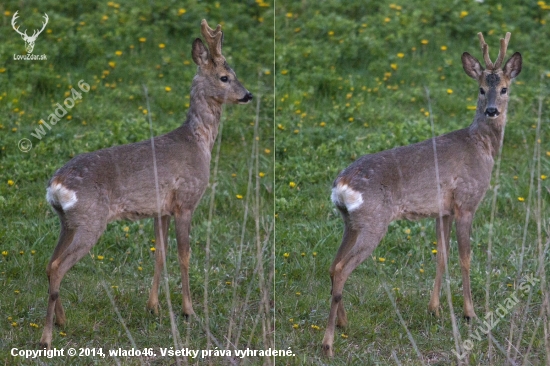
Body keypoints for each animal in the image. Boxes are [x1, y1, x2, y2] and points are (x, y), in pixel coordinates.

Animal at [39, 19, 254, 348]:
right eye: (225, 77)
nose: (248, 95)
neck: (199, 141)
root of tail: (56, 184)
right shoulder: (185, 201)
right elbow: (184, 256)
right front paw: (189, 310)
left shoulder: (161, 209)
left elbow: (160, 254)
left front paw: (153, 307)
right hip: (91, 220)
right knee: (58, 266)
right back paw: (47, 336)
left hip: (67, 221)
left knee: (51, 263)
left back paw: (62, 321)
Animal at [322, 33, 524, 356]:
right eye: (481, 89)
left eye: (504, 88)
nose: (492, 110)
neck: (482, 146)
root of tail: (341, 183)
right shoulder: (466, 202)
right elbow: (465, 258)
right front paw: (470, 313)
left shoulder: (443, 210)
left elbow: (441, 256)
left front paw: (435, 309)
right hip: (374, 221)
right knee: (341, 269)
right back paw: (328, 342)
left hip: (349, 222)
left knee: (332, 265)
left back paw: (343, 323)